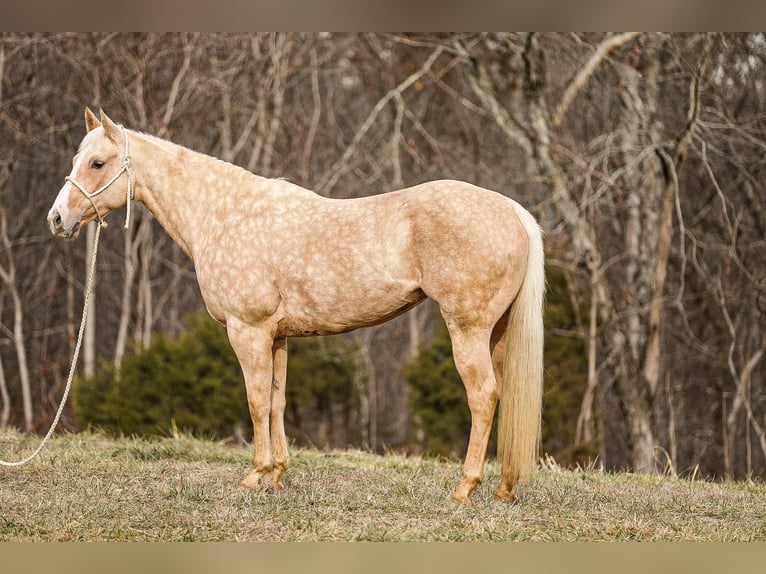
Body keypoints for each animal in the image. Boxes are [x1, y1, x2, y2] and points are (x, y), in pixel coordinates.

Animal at [48, 108, 544, 504]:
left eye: (97, 163)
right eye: (73, 160)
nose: (57, 219)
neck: (225, 214)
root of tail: (514, 212)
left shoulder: (247, 330)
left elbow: (254, 399)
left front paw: (255, 475)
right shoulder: (278, 335)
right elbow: (276, 400)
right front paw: (277, 476)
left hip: (467, 328)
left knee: (483, 395)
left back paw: (465, 488)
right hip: (498, 332)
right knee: (502, 395)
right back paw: (503, 488)